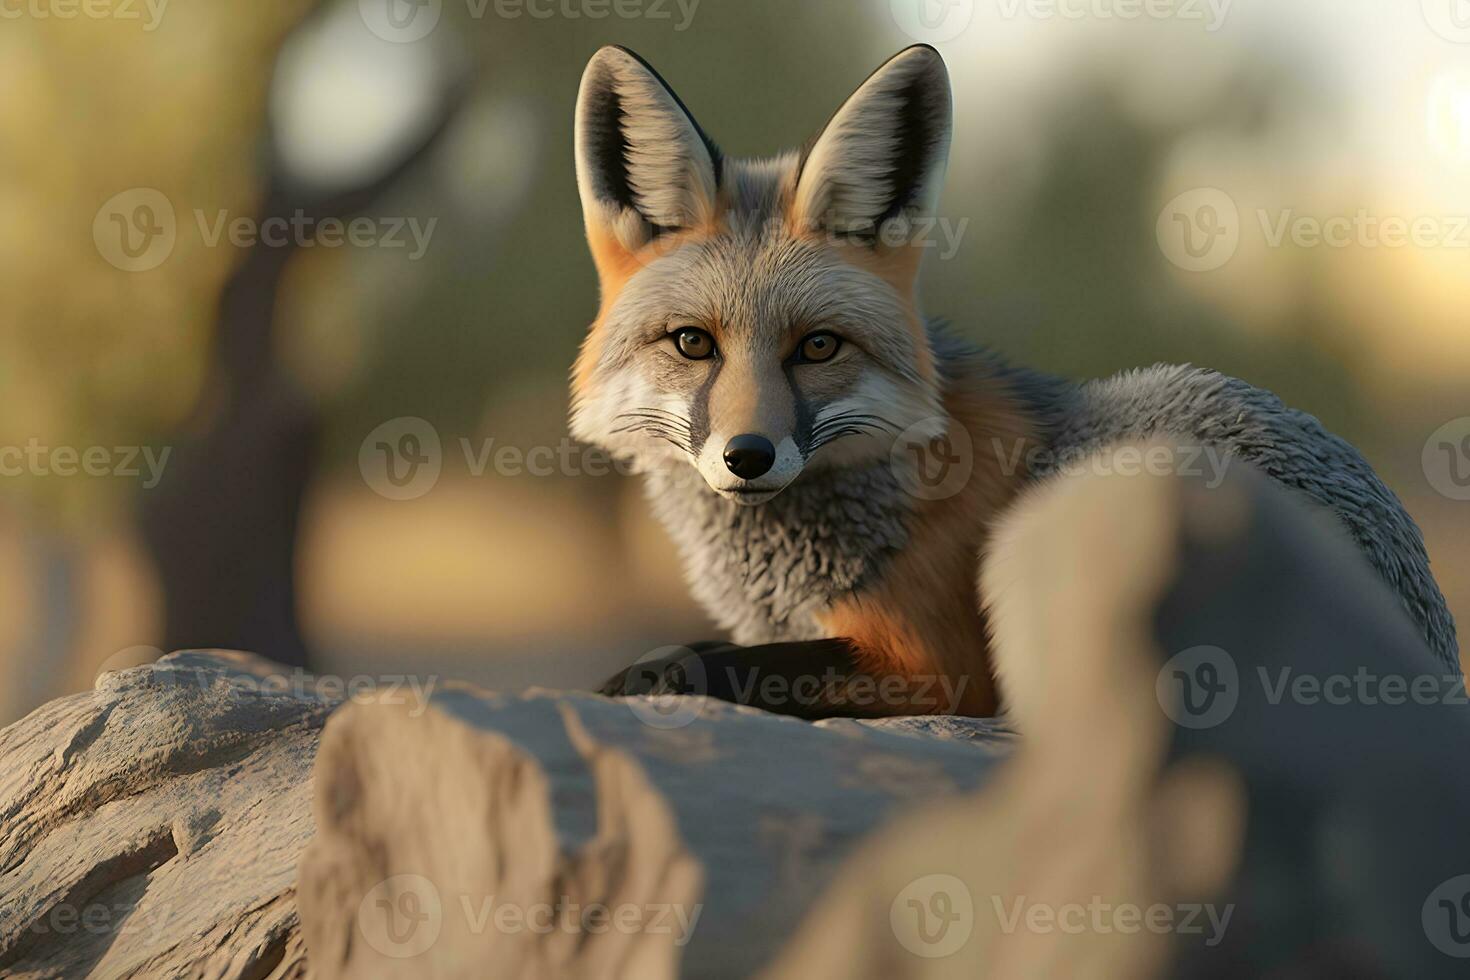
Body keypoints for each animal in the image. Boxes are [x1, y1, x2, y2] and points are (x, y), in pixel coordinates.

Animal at [567, 44, 1452, 719]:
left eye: (817, 347)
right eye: (693, 344)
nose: (748, 456)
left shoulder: (938, 665)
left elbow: (711, 663)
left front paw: (643, 675)